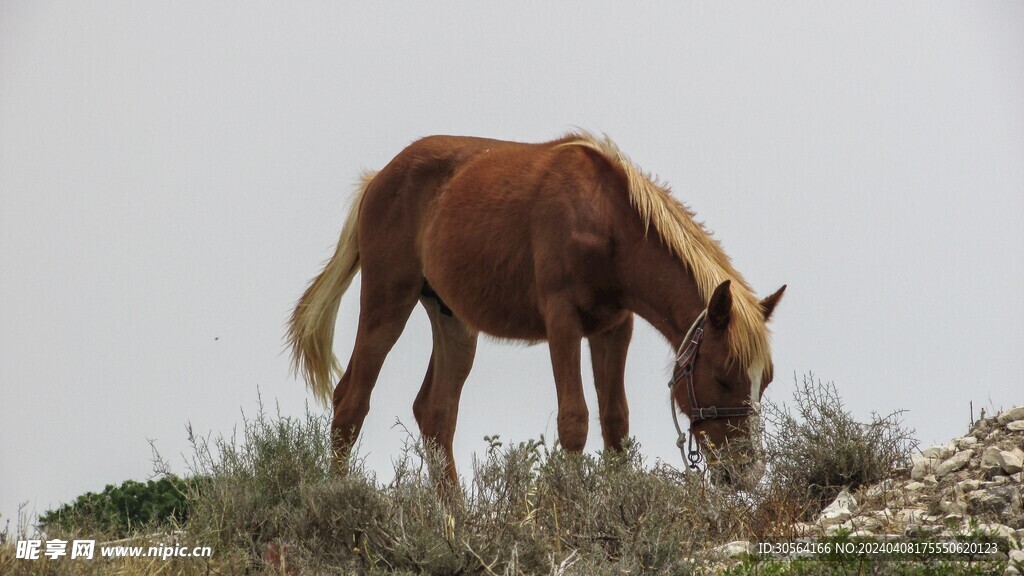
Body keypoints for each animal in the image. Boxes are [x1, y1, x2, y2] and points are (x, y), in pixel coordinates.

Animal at [288, 131, 782, 487]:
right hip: (387, 300)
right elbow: (574, 421)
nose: (747, 472)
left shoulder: (613, 328)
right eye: (723, 376)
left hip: (453, 323)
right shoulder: (562, 321)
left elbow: (615, 424)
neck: (606, 219)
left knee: (435, 415)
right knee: (351, 403)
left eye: (766, 381)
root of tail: (378, 179)